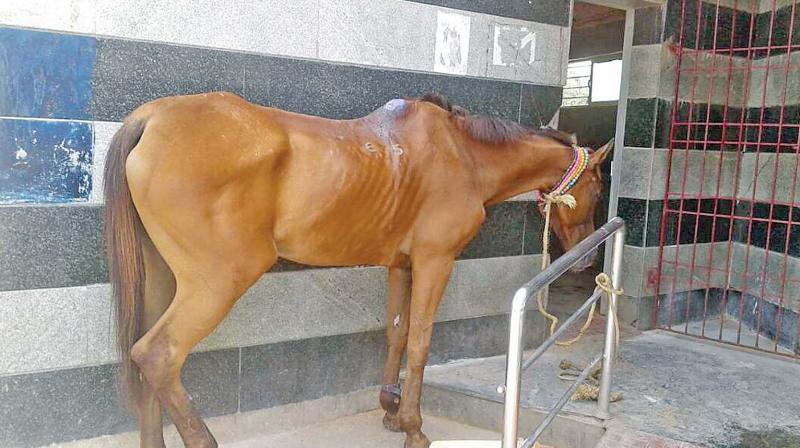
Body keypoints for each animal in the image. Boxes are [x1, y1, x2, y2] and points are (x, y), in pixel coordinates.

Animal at [103, 92, 608, 448]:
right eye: (599, 187)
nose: (588, 261)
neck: (463, 155)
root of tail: (152, 118)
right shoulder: (435, 261)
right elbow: (421, 341)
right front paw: (413, 427)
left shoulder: (402, 266)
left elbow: (397, 333)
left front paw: (390, 409)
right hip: (221, 279)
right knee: (157, 355)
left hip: (162, 278)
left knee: (142, 355)